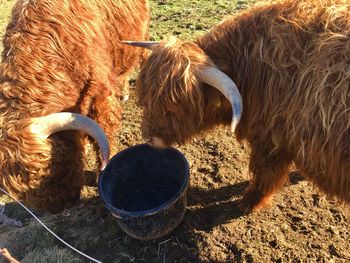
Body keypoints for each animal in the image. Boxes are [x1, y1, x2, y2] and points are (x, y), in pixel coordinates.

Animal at [124, 0, 350, 214]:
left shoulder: (271, 140)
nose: (148, 138)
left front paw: (249, 202)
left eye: (172, 108)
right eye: (145, 100)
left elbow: (265, 174)